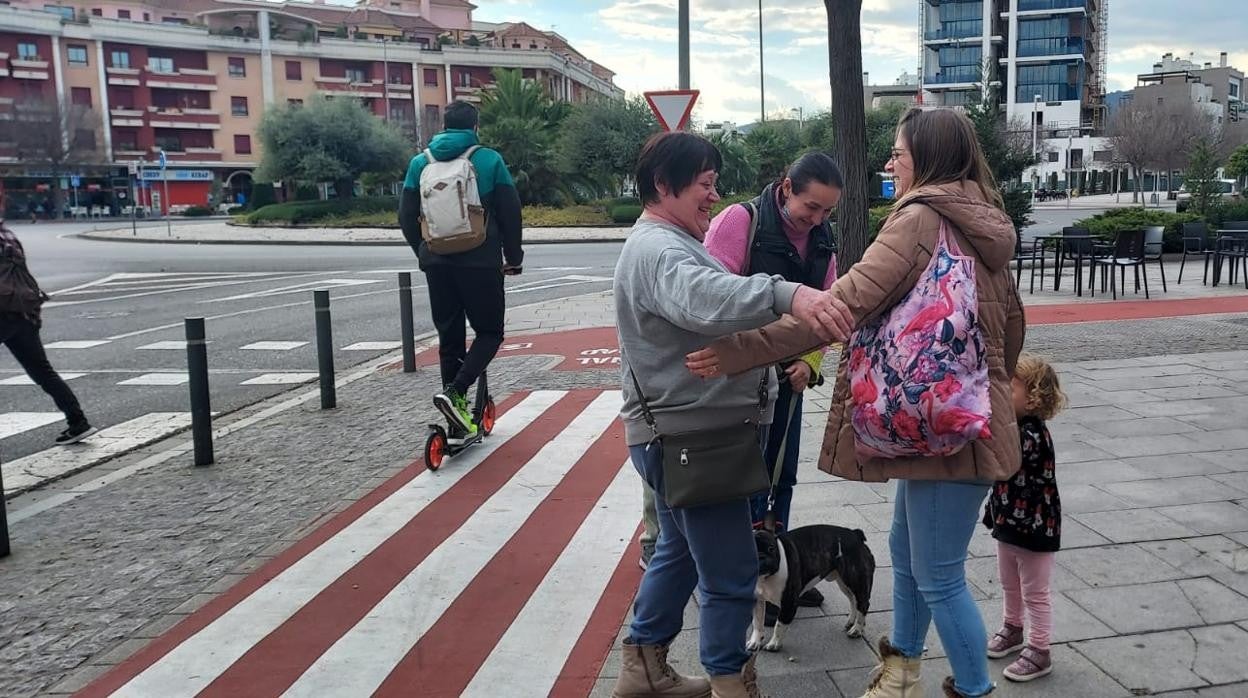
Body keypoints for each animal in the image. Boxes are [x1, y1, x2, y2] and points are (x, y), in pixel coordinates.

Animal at [748, 526, 878, 654]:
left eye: (771, 548)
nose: (760, 557)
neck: (764, 578)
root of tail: (856, 534)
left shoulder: (788, 603)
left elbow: (779, 625)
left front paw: (774, 644)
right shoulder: (757, 602)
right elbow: (757, 622)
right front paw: (755, 641)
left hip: (856, 580)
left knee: (863, 604)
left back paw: (857, 629)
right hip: (844, 582)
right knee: (853, 600)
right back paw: (851, 622)